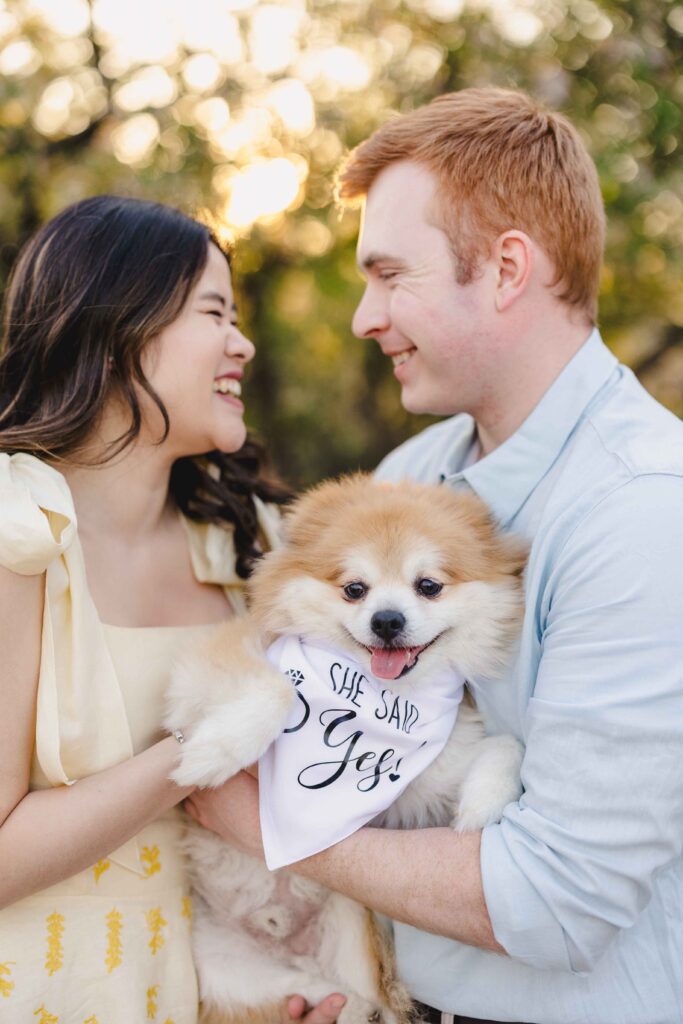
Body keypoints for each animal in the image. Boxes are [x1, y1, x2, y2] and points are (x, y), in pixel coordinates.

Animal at [165, 475, 528, 1024]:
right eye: (355, 589)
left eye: (428, 585)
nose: (387, 620)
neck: (382, 697)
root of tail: (284, 937)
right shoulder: (207, 668)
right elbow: (277, 689)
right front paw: (214, 753)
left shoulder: (428, 779)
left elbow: (508, 744)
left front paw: (483, 802)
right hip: (229, 968)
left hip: (352, 923)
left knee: (365, 1001)